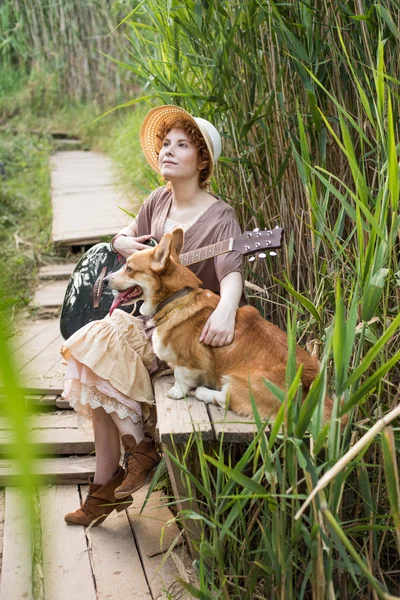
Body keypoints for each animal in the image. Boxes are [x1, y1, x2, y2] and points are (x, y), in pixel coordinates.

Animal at [104, 229, 334, 422]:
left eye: (129, 268)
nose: (104, 280)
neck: (176, 299)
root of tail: (311, 390)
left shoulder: (187, 361)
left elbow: (180, 376)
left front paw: (177, 392)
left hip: (242, 380)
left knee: (228, 399)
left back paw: (203, 392)